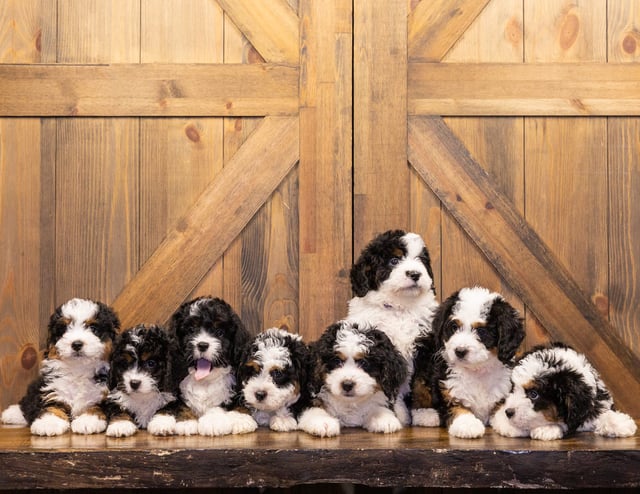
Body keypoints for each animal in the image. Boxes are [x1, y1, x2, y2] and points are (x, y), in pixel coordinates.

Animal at [0, 298, 120, 436]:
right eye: (64, 330)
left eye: (93, 328)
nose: (76, 344)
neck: (79, 370)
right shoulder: (53, 386)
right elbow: (52, 404)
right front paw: (49, 423)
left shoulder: (105, 393)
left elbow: (97, 406)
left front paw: (87, 421)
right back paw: (12, 413)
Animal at [148, 296, 258, 434]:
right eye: (191, 330)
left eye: (219, 332)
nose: (202, 345)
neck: (204, 380)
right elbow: (175, 402)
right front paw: (177, 421)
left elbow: (230, 403)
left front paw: (219, 421)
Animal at [344, 230, 440, 426]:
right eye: (394, 261)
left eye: (420, 260)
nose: (415, 274)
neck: (399, 308)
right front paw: (396, 413)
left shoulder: (425, 346)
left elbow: (422, 382)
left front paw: (425, 413)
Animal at [416, 288, 524, 438]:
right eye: (454, 327)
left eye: (481, 331)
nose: (460, 351)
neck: (476, 370)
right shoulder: (448, 388)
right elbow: (457, 407)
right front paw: (467, 424)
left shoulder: (504, 389)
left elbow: (503, 408)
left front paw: (510, 424)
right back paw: (426, 415)